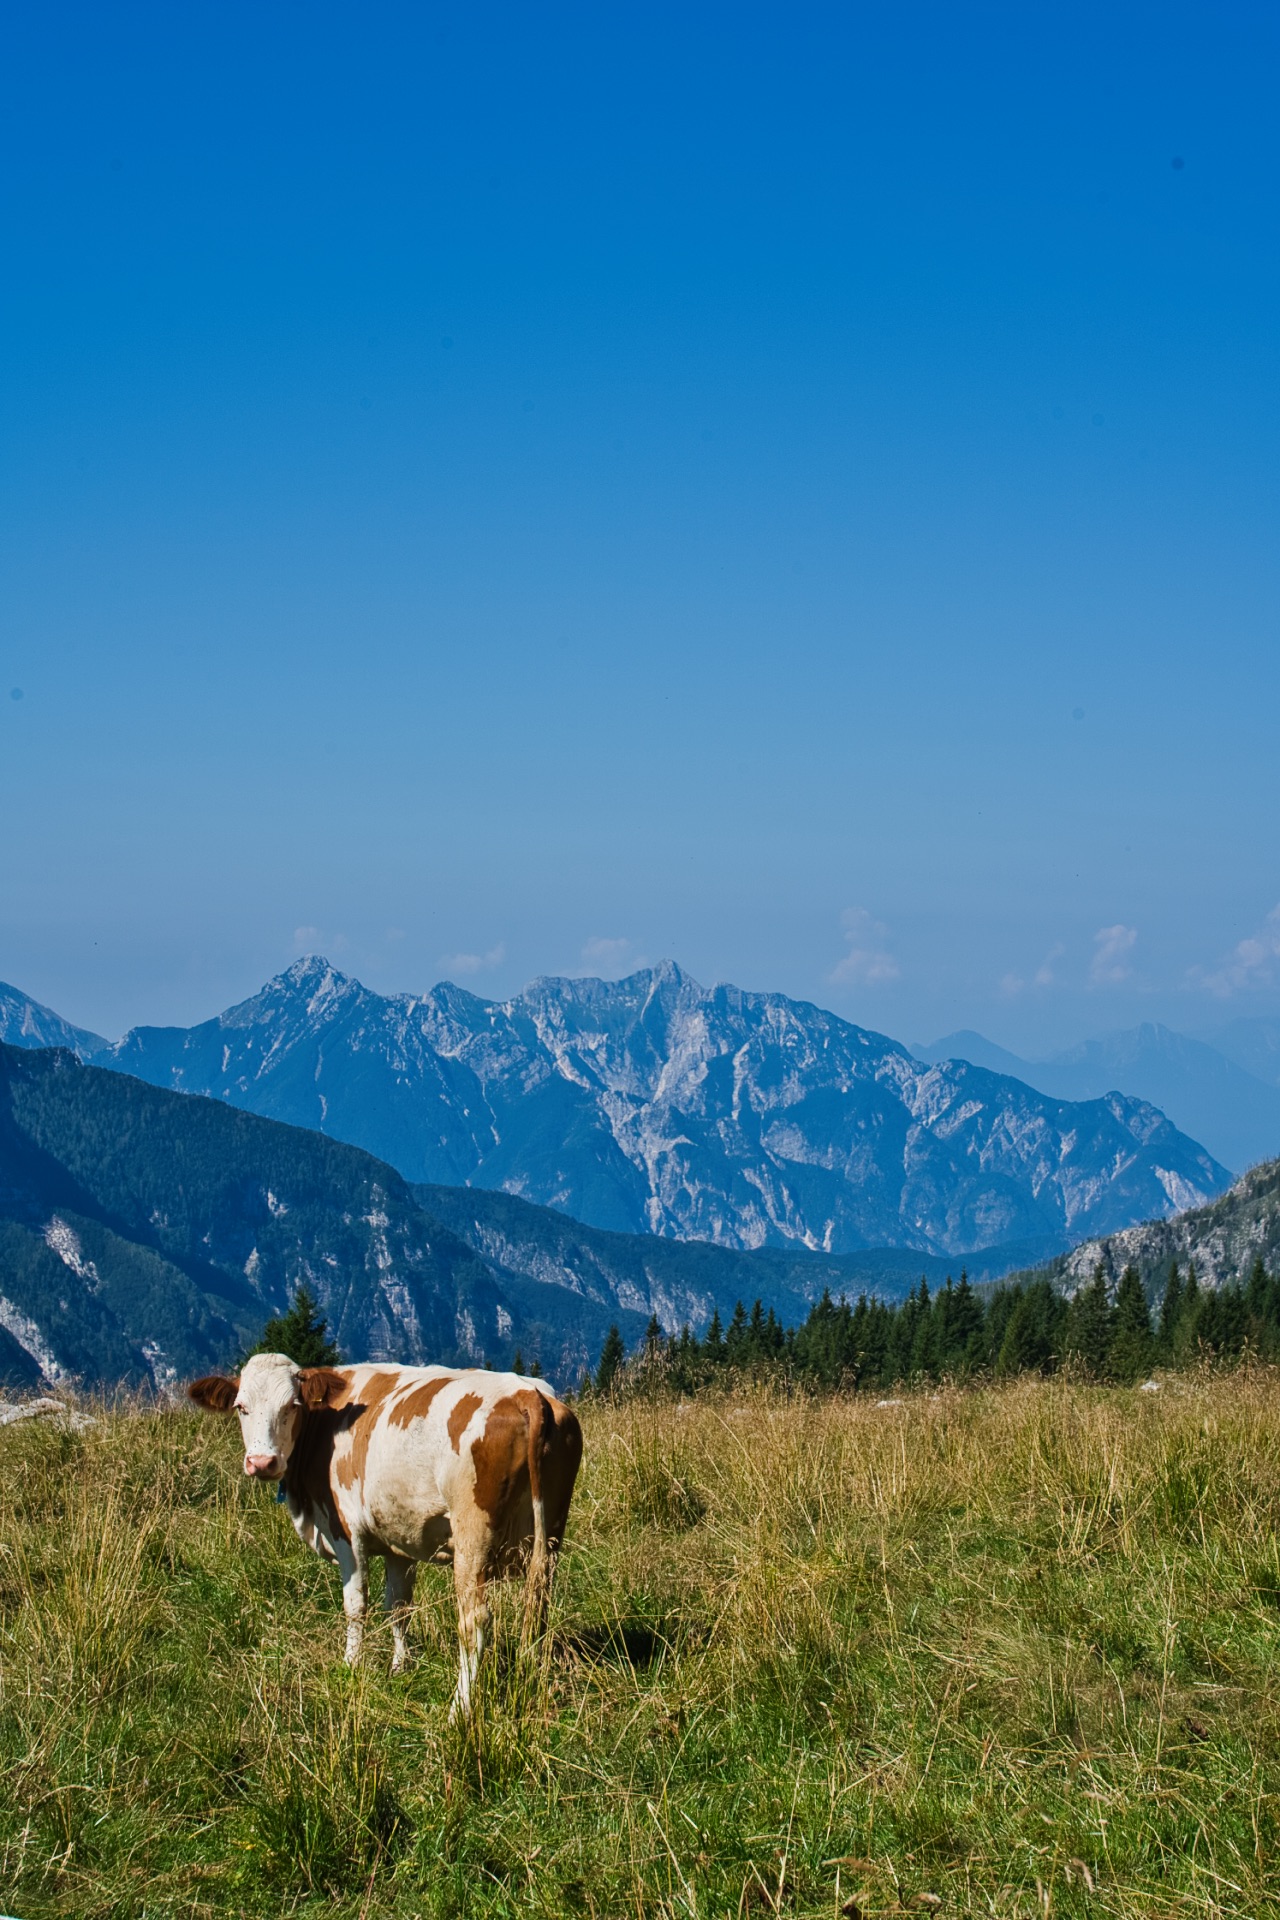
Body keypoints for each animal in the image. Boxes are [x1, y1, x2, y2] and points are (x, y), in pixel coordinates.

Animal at [188, 1353, 583, 1719]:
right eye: (241, 1407)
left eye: (292, 1406)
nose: (262, 1462)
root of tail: (527, 1394)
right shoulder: (400, 1538)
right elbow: (399, 1606)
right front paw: (400, 1666)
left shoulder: (345, 1531)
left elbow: (355, 1605)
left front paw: (351, 1665)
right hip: (550, 1533)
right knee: (538, 1606)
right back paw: (531, 1680)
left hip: (474, 1535)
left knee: (475, 1619)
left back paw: (460, 1709)